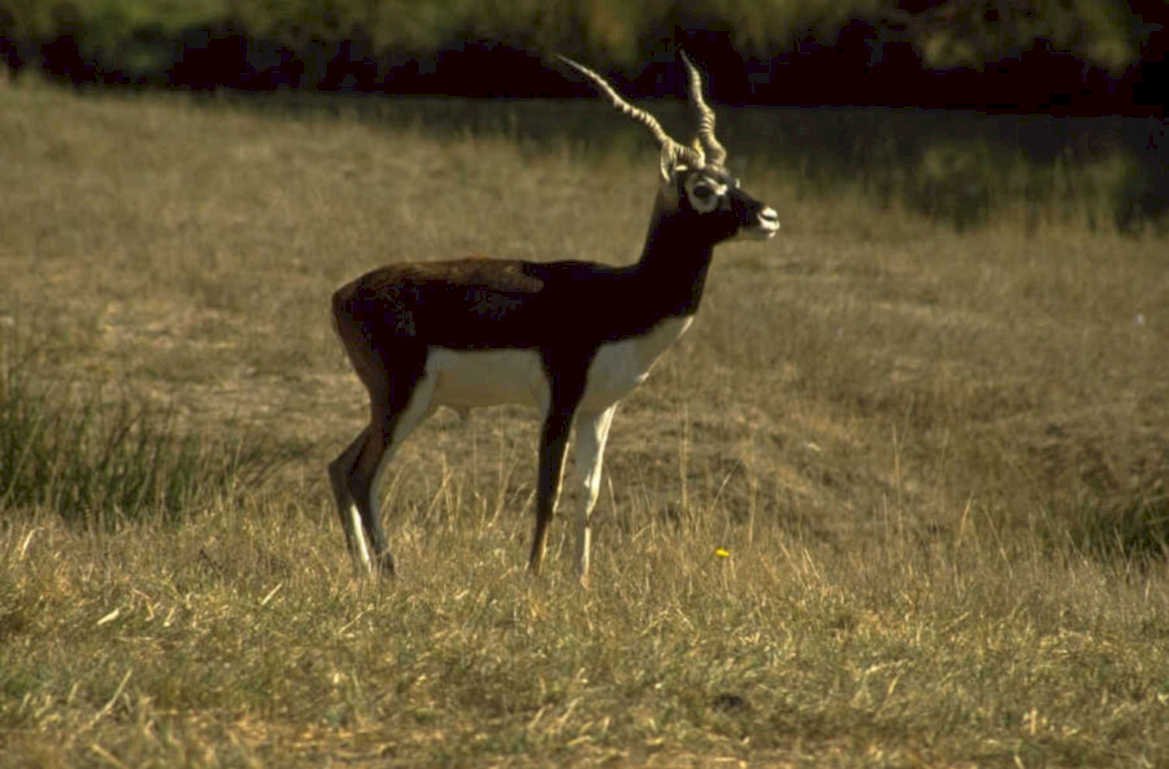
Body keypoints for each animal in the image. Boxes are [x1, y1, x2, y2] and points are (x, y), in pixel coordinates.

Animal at [328, 54, 779, 584]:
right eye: (702, 188)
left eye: (733, 179)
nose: (768, 217)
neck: (622, 295)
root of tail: (343, 293)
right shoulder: (560, 400)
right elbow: (549, 490)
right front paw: (534, 577)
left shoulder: (600, 409)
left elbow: (587, 494)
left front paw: (581, 581)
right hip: (403, 399)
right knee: (363, 474)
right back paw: (390, 573)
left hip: (410, 402)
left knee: (341, 467)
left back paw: (366, 570)